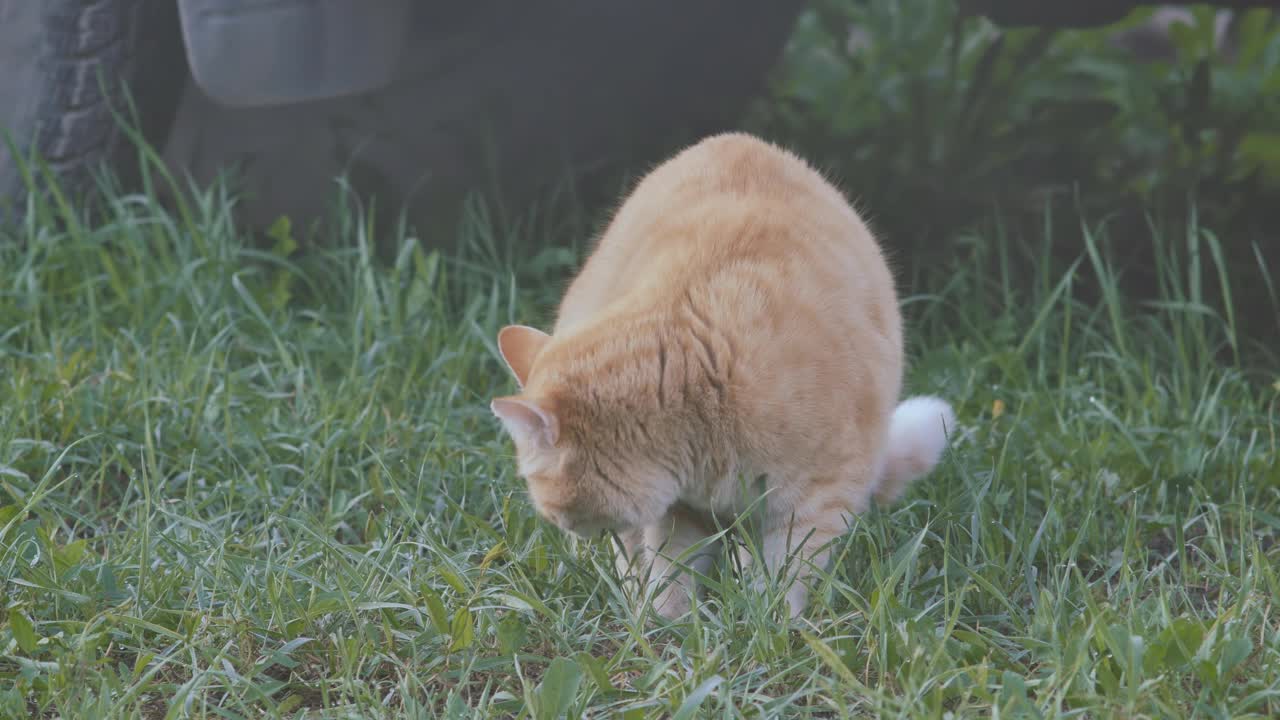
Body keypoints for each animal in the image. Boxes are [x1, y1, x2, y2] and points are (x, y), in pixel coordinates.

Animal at [488, 133, 952, 617]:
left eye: (549, 503)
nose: (563, 528)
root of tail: (741, 140)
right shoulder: (681, 511)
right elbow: (672, 571)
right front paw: (666, 623)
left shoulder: (816, 499)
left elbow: (787, 573)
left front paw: (770, 621)